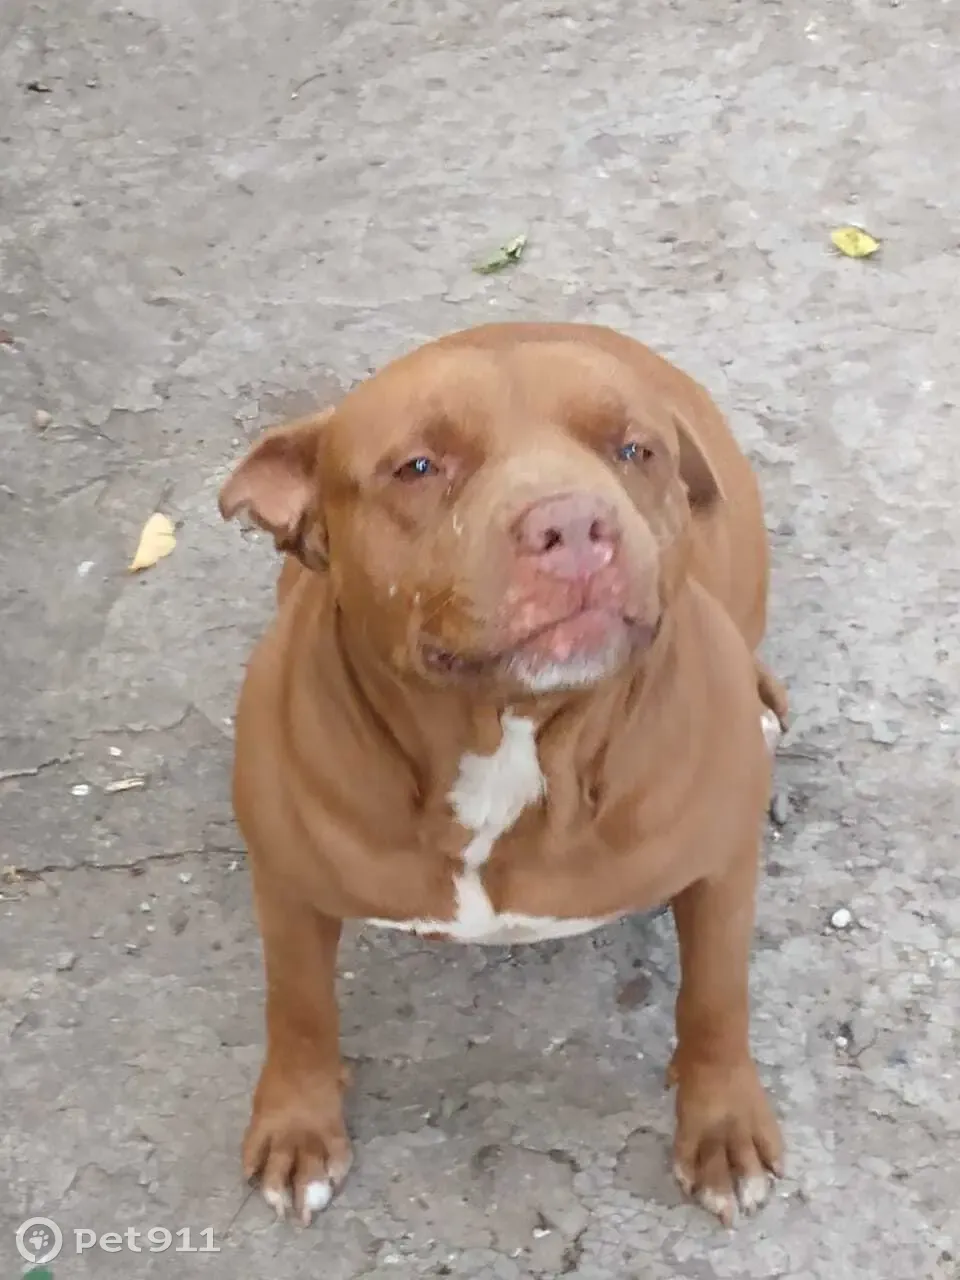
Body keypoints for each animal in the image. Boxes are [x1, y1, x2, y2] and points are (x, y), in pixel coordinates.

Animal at [219, 322, 787, 1229]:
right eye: (419, 466)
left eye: (633, 450)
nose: (576, 524)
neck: (510, 739)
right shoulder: (286, 883)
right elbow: (298, 1006)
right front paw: (298, 1126)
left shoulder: (720, 868)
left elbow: (716, 999)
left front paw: (723, 1129)